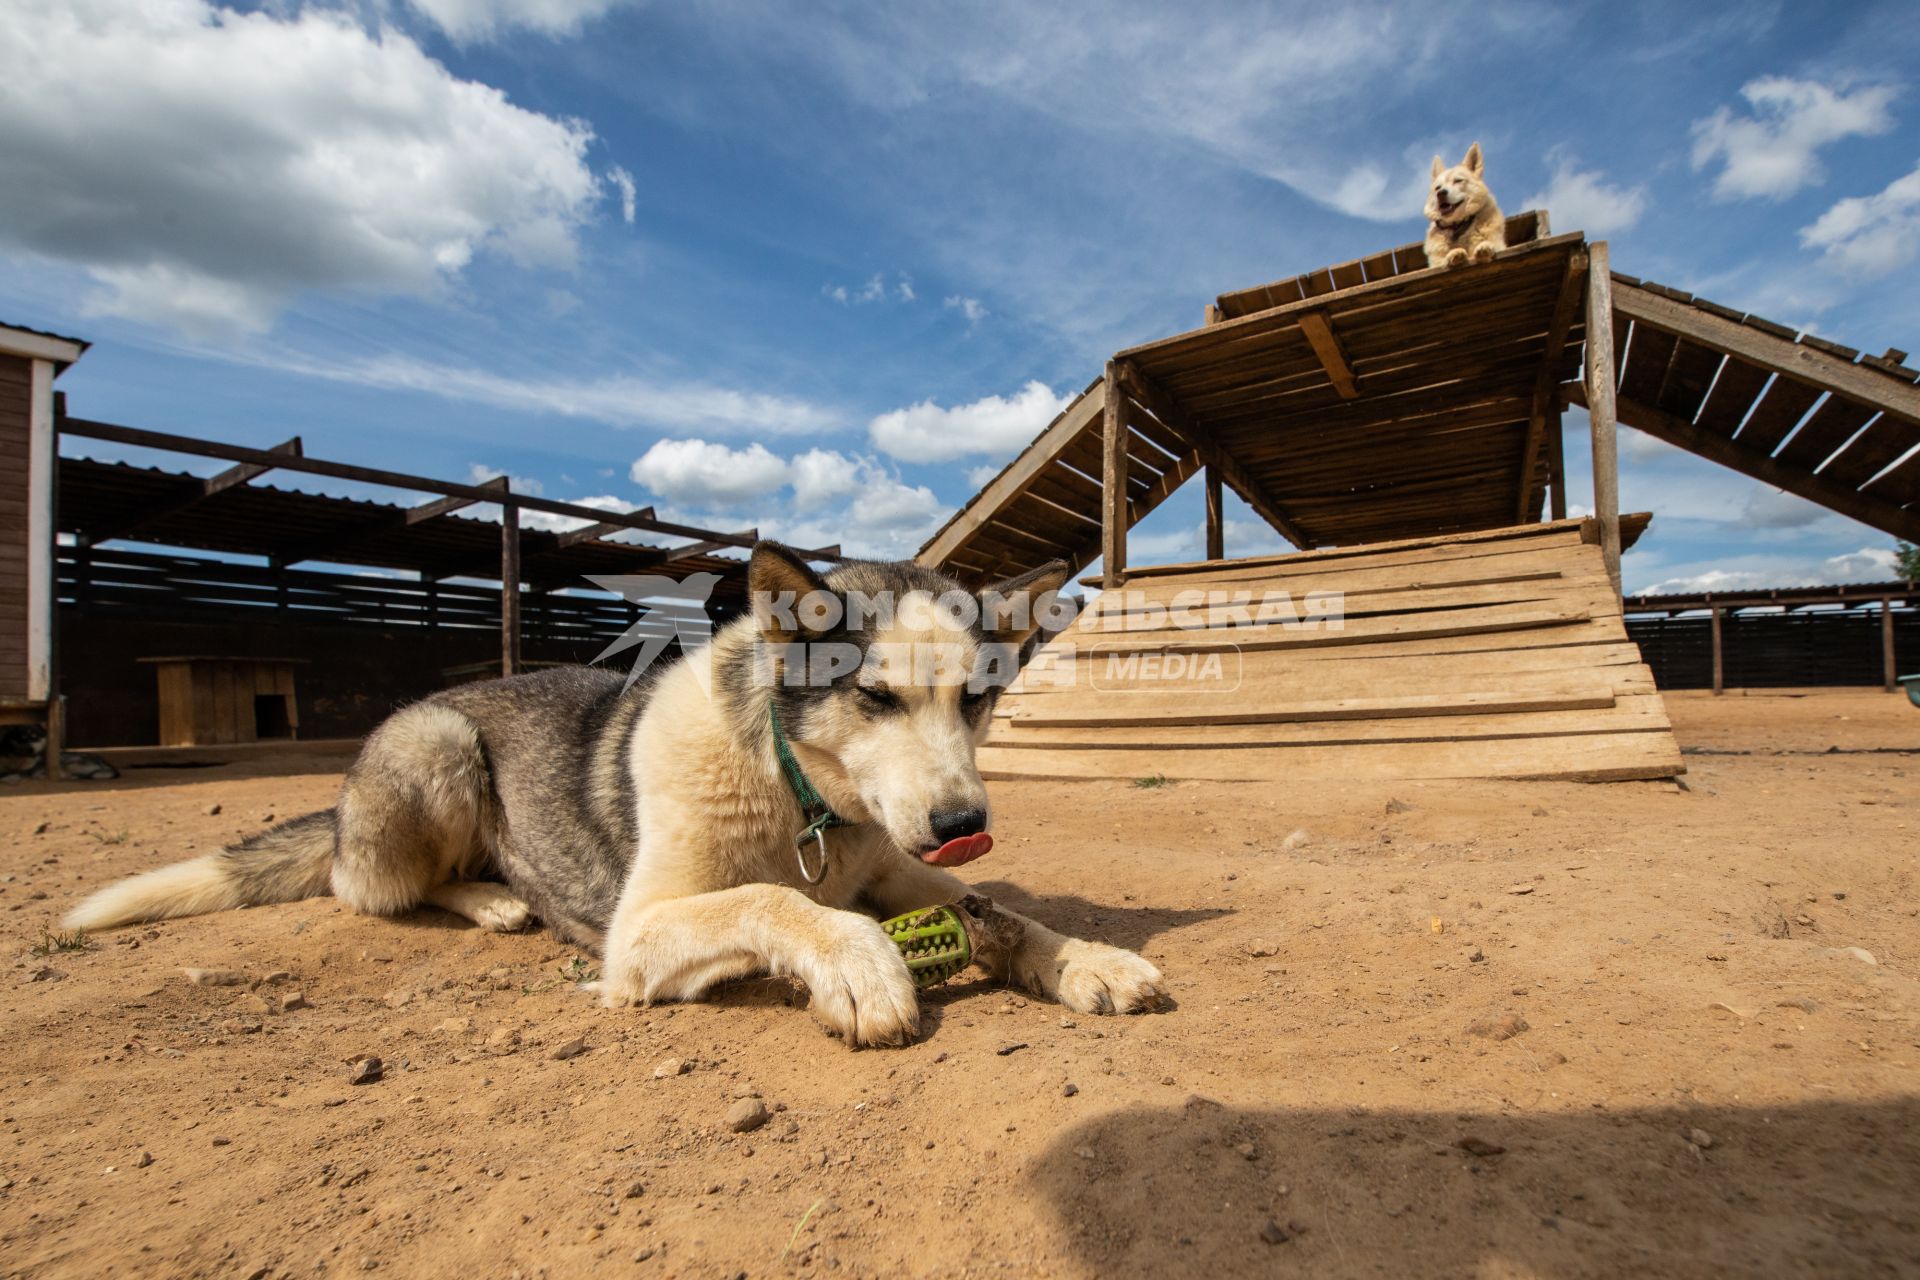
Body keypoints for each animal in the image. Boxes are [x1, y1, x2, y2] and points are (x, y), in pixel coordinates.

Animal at [67, 545, 1159, 1043]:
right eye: (875, 696)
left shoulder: (899, 869)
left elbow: (998, 910)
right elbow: (774, 899)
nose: (966, 824)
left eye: (977, 699)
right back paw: (493, 896)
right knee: (370, 887)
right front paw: (857, 962)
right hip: (438, 745)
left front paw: (1086, 959)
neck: (798, 798)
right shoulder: (639, 934)